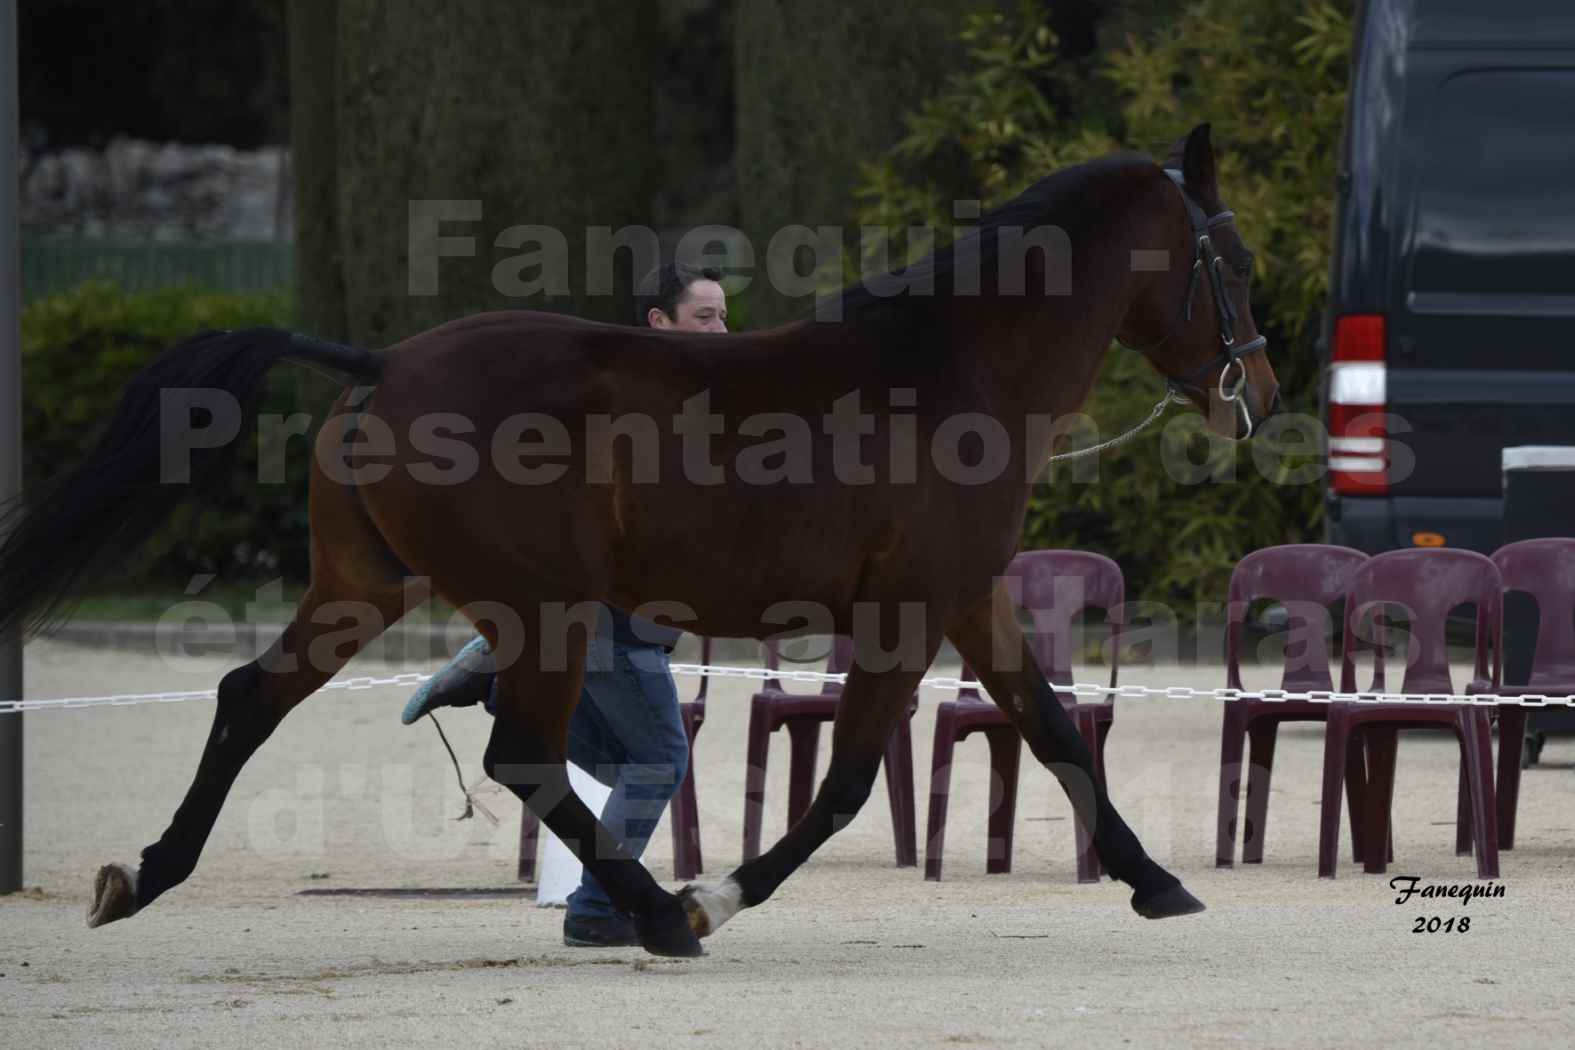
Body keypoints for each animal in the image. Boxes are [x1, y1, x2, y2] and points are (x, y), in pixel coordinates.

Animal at [0, 125, 1278, 963]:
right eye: (1233, 260)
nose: (1257, 393)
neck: (951, 373)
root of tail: (383, 366)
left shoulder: (967, 598)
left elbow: (1056, 731)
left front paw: (1158, 884)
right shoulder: (909, 610)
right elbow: (847, 784)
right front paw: (717, 897)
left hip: (366, 588)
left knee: (249, 698)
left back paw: (143, 875)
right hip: (545, 613)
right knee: (521, 754)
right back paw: (662, 916)